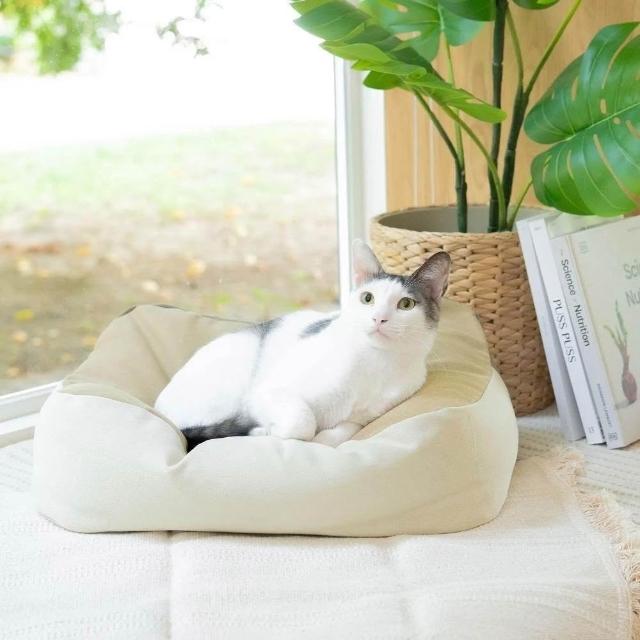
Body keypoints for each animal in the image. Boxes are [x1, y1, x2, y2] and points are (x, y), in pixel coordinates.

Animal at [154, 240, 450, 449]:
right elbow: (302, 424)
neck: (376, 362)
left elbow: (336, 435)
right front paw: (267, 431)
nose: (379, 318)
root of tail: (159, 410)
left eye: (406, 304)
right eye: (368, 298)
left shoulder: (362, 417)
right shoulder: (267, 392)